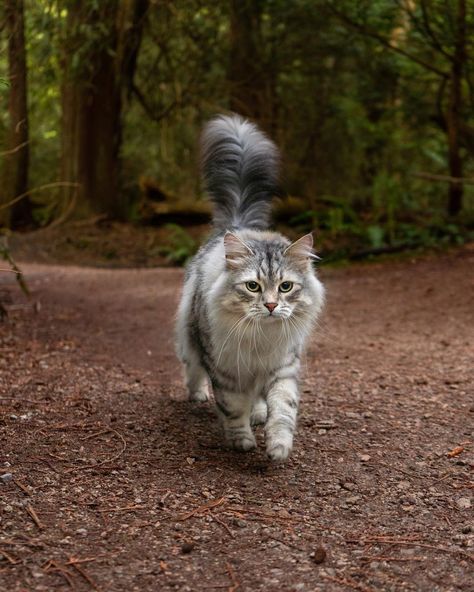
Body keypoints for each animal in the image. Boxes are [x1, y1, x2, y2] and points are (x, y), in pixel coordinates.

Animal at [176, 113, 324, 460]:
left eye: (285, 287)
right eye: (253, 287)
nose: (270, 305)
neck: (261, 339)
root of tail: (238, 225)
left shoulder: (282, 368)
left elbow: (283, 409)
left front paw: (277, 447)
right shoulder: (226, 370)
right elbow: (232, 409)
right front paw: (242, 441)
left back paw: (258, 414)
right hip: (191, 336)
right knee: (193, 370)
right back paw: (198, 395)